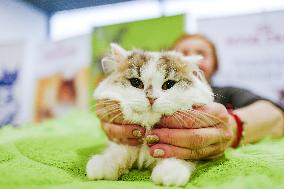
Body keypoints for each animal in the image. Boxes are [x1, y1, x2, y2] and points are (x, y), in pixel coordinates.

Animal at [86, 43, 213, 186]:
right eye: (136, 82)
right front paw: (102, 166)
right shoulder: (125, 143)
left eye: (169, 84)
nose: (151, 98)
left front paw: (169, 173)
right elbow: (117, 152)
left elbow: (176, 155)